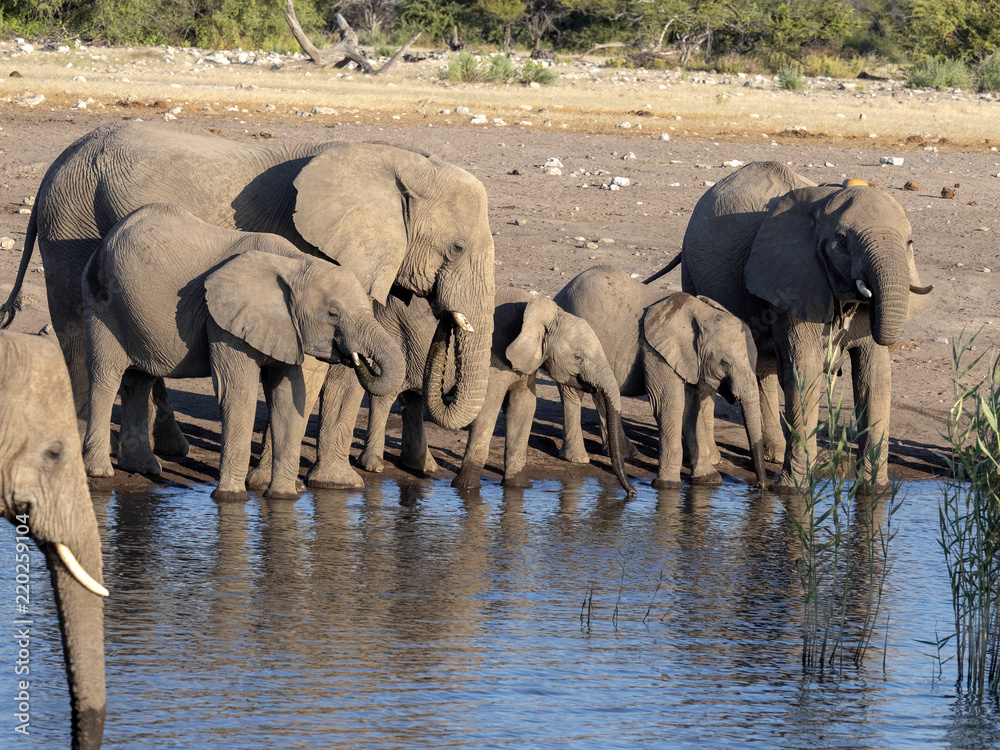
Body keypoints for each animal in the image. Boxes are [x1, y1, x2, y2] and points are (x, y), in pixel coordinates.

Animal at [81, 203, 405, 501]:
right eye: (333, 314)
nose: (358, 359)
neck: (295, 264)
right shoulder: (222, 322)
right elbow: (238, 393)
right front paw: (231, 498)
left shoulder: (287, 328)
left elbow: (288, 397)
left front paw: (283, 498)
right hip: (102, 307)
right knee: (106, 376)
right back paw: (100, 470)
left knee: (140, 379)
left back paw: (144, 468)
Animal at [359, 288, 635, 494]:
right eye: (578, 357)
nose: (632, 492)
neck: (541, 312)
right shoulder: (494, 355)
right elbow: (488, 407)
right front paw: (466, 489)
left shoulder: (525, 363)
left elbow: (524, 406)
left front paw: (518, 486)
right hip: (393, 334)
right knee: (385, 395)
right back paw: (373, 466)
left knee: (412, 398)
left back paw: (424, 468)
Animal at [554, 265, 767, 489]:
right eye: (725, 363)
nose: (758, 486)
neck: (701, 313)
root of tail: (562, 291)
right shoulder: (656, 352)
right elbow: (669, 404)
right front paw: (668, 486)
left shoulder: (690, 360)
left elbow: (692, 409)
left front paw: (708, 479)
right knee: (572, 393)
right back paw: (577, 458)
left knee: (602, 393)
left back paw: (625, 453)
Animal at [645, 162, 932, 490]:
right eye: (842, 239)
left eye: (909, 243)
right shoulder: (793, 278)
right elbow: (803, 369)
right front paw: (792, 489)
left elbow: (874, 376)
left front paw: (875, 490)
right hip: (692, 271)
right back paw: (715, 461)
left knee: (764, 368)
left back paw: (773, 453)